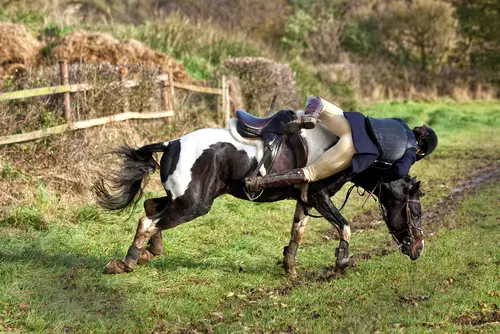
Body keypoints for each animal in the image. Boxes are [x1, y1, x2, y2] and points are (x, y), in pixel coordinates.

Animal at [94, 109, 426, 276]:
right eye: (415, 210)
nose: (419, 249)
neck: (348, 146)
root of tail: (172, 142)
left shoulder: (306, 200)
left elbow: (297, 232)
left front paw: (290, 269)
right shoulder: (319, 196)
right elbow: (345, 226)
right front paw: (341, 262)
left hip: (183, 199)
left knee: (151, 206)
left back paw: (150, 252)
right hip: (194, 203)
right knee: (147, 221)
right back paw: (126, 262)